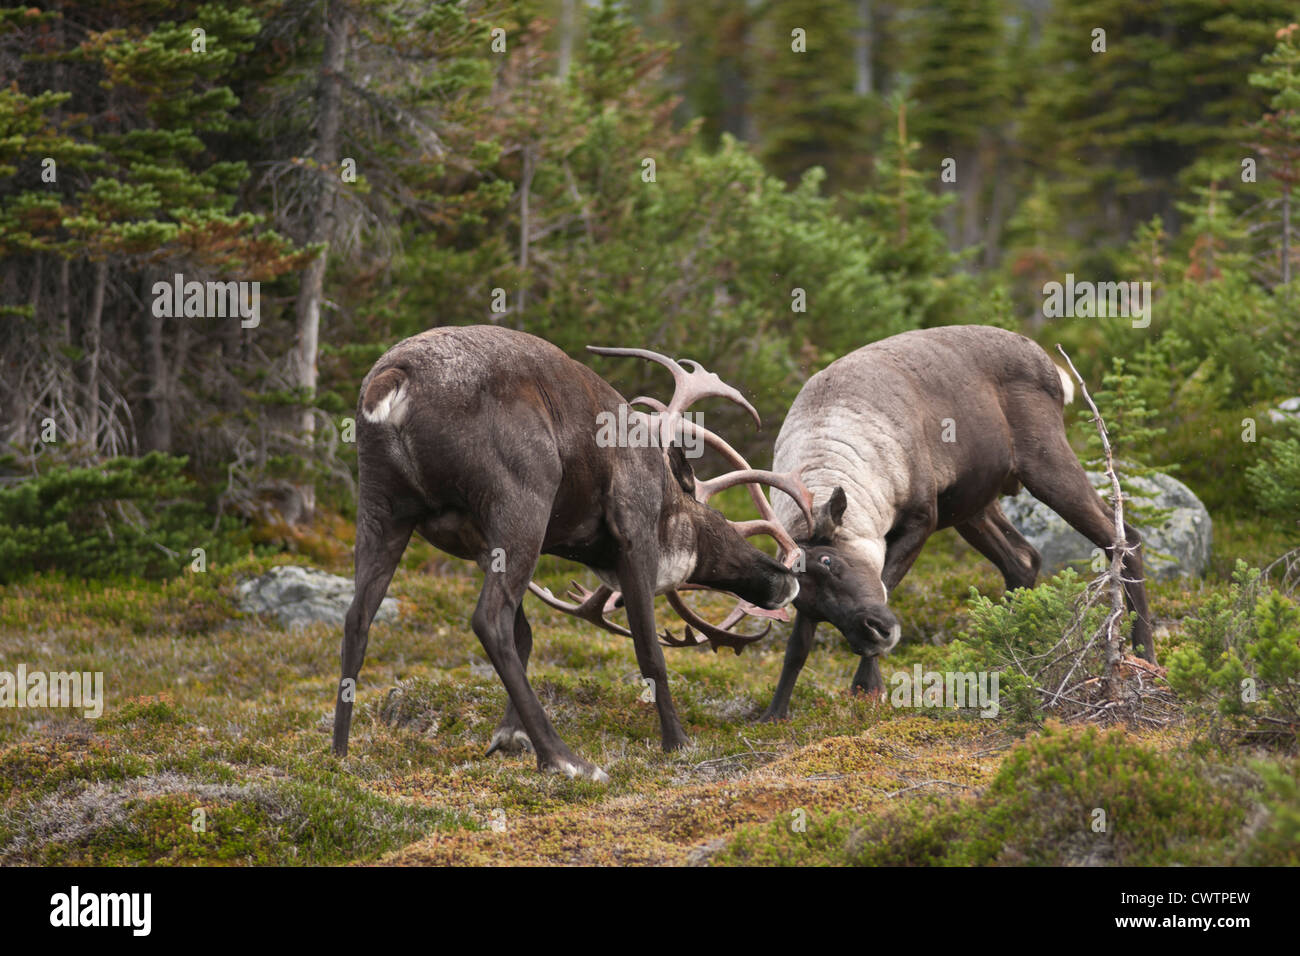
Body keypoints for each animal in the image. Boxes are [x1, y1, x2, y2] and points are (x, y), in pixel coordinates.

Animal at [330, 325, 811, 781]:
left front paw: (509, 734)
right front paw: (677, 742)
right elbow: (649, 653)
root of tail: (394, 377)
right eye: (719, 523)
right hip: (522, 500)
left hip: (382, 509)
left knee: (358, 618)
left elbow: (526, 634)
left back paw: (338, 756)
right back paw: (566, 760)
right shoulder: (633, 535)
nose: (785, 580)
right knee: (488, 620)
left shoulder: (481, 546)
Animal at [750, 324, 1155, 721]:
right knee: (1024, 559)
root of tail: (1049, 366)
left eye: (830, 560)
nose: (874, 636)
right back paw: (1008, 658)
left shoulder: (921, 519)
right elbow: (797, 645)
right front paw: (775, 712)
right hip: (973, 506)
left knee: (1123, 537)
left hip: (1045, 463)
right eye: (808, 601)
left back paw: (1144, 658)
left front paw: (868, 686)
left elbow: (884, 586)